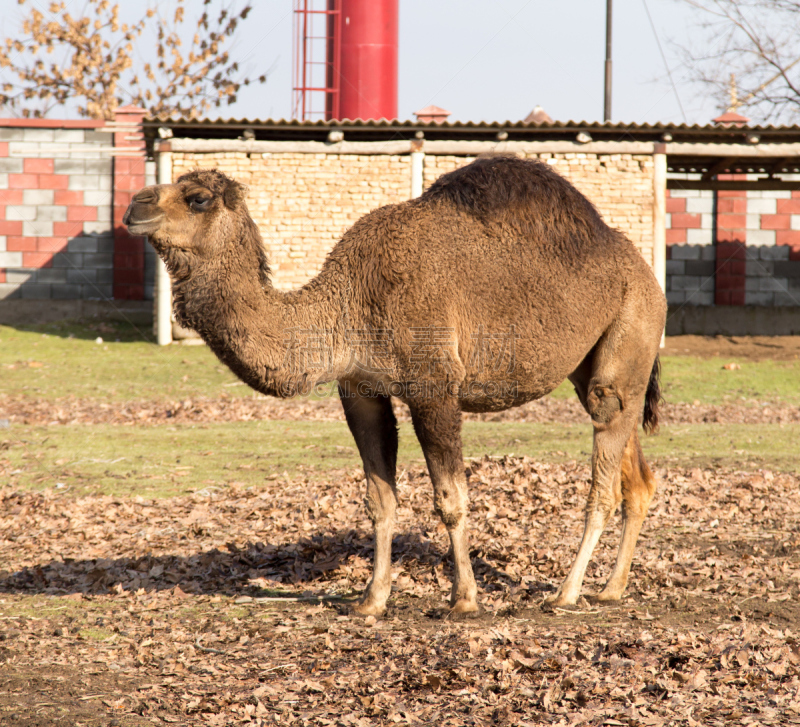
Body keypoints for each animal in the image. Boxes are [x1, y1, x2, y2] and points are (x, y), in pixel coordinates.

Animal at [123, 156, 664, 616]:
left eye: (197, 198)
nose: (135, 205)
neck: (350, 300)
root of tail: (644, 270)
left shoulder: (434, 387)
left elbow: (450, 499)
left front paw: (464, 601)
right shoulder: (361, 390)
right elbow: (379, 500)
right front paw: (372, 600)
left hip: (631, 325)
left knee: (604, 474)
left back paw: (567, 593)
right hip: (595, 366)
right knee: (635, 473)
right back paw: (611, 589)